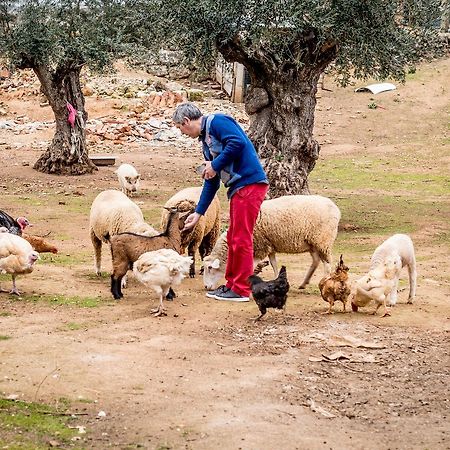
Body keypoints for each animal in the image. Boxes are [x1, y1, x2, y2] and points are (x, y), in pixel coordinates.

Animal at [202, 195, 340, 290]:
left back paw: (324, 283)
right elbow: (274, 264)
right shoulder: (269, 246)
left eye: (210, 268)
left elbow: (252, 265)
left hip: (323, 241)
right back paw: (303, 283)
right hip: (312, 243)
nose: (206, 287)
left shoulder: (260, 247)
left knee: (327, 264)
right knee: (316, 261)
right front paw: (276, 280)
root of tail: (336, 209)